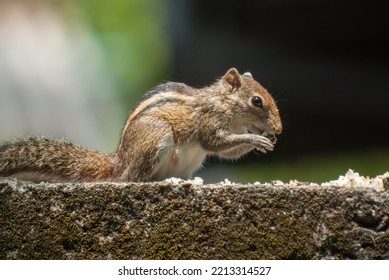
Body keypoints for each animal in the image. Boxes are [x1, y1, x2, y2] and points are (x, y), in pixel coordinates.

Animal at [0, 67, 282, 182]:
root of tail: (120, 160)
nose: (278, 129)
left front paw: (267, 141)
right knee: (131, 178)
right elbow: (215, 143)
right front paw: (257, 139)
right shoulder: (208, 122)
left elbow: (229, 153)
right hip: (157, 135)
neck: (222, 103)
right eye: (257, 101)